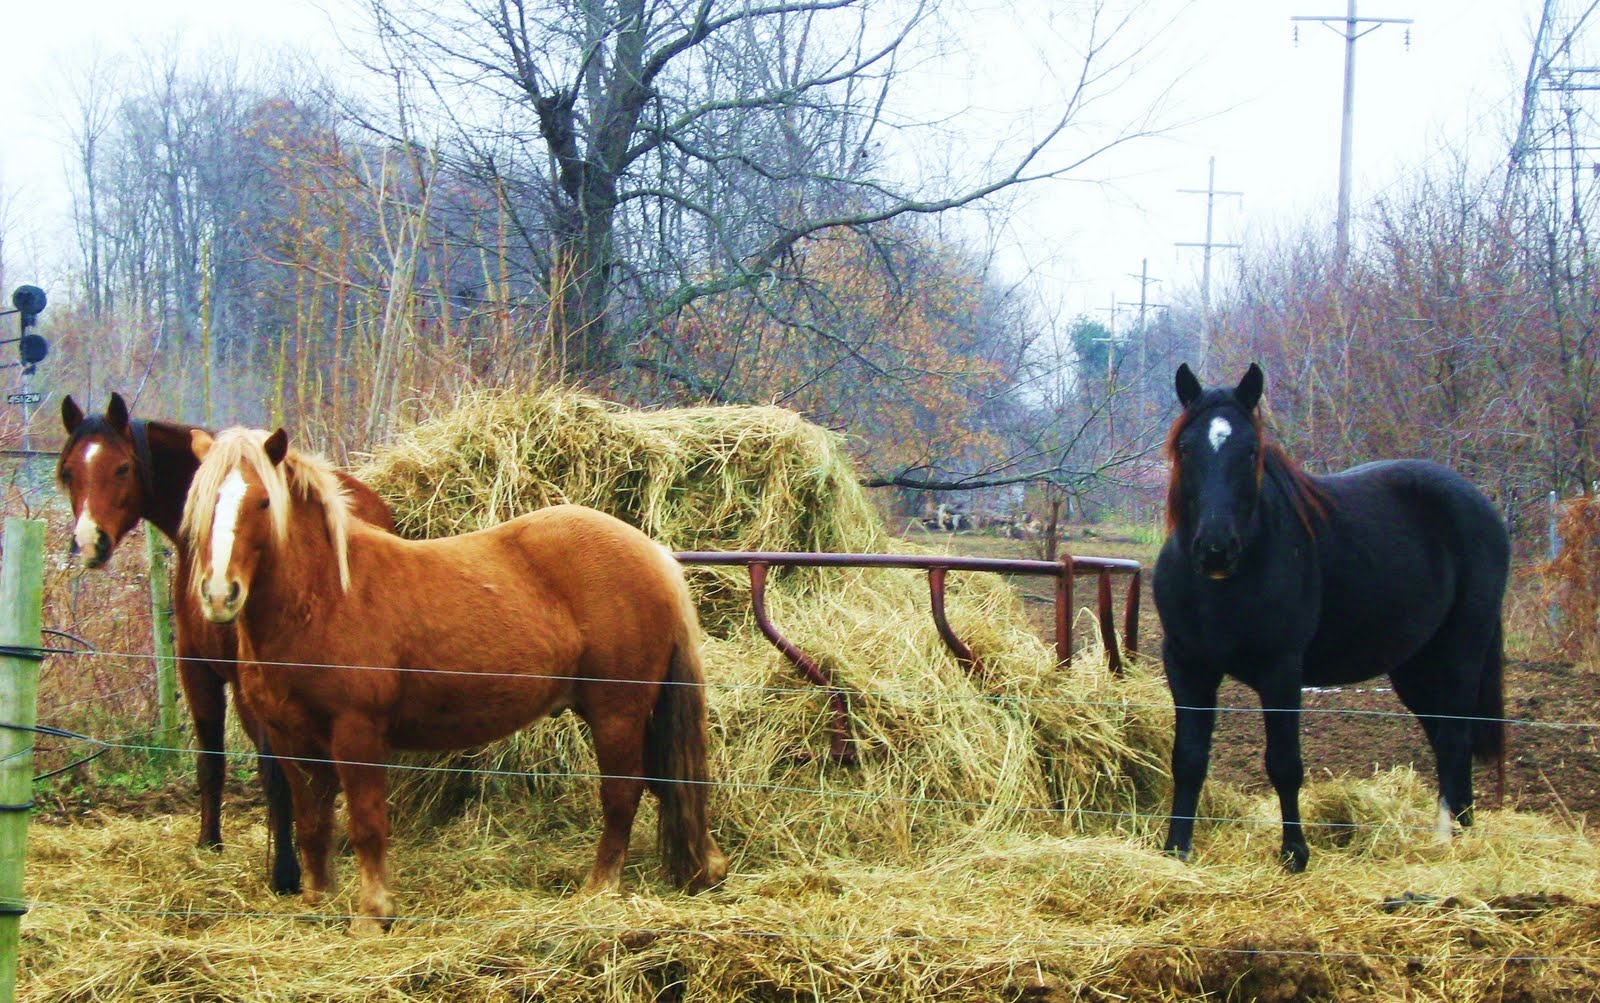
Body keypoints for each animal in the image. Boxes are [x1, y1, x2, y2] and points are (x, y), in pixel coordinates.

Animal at [57, 393, 396, 894]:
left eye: (120, 468)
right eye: (67, 471)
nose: (89, 541)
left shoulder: (201, 671)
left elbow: (218, 762)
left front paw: (235, 851)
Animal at [181, 426, 727, 932]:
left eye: (263, 501)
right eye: (202, 503)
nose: (219, 595)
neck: (326, 597)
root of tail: (651, 552)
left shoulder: (357, 735)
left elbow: (366, 824)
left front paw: (373, 914)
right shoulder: (290, 738)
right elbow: (312, 823)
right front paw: (317, 900)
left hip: (617, 712)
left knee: (623, 793)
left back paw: (599, 888)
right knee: (665, 783)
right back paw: (706, 868)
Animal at [1152, 363, 1508, 872]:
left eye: (1251, 450)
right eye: (1185, 447)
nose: (1216, 548)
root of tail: (1480, 504)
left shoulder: (1282, 670)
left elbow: (1284, 763)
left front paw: (1294, 854)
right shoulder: (1187, 666)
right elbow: (1188, 758)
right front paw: (1176, 848)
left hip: (1462, 651)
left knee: (1456, 736)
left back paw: (1444, 839)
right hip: (1415, 667)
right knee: (1444, 739)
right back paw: (1463, 827)